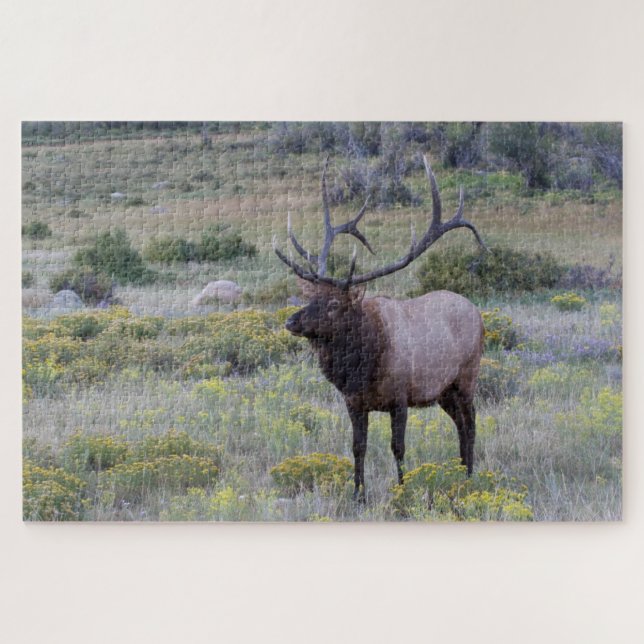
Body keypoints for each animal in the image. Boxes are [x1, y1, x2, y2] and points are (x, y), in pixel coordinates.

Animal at [274, 155, 487, 502]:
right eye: (313, 297)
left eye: (334, 305)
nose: (291, 321)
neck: (365, 366)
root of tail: (478, 314)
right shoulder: (354, 402)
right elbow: (357, 447)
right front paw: (358, 495)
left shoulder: (400, 398)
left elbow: (397, 448)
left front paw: (401, 492)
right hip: (443, 391)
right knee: (459, 423)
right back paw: (460, 473)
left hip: (467, 376)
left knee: (471, 423)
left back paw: (469, 476)